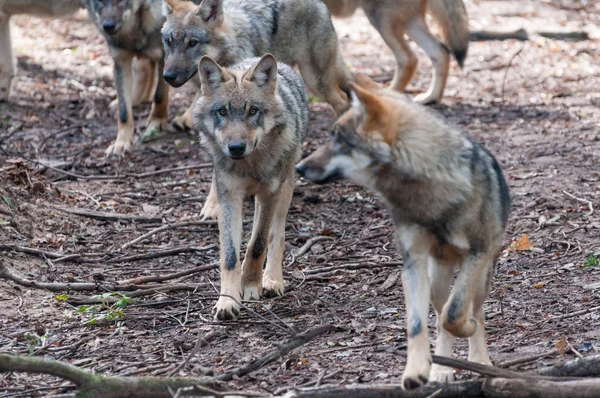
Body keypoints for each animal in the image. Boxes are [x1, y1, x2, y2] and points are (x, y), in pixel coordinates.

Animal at [82, 0, 171, 155]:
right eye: (99, 1)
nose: (108, 26)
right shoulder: (120, 64)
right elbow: (124, 112)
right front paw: (121, 143)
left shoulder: (165, 60)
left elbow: (159, 96)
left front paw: (157, 122)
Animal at [164, 0, 352, 132]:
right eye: (168, 41)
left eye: (192, 43)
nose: (167, 76)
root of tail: (320, 3)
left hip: (316, 82)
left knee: (343, 101)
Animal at [195, 53, 310, 320]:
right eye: (222, 111)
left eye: (253, 111)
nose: (236, 147)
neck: (250, 165)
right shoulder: (230, 197)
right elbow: (229, 256)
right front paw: (228, 300)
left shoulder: (269, 194)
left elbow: (257, 245)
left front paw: (250, 286)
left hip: (285, 189)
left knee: (276, 234)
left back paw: (272, 280)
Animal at [296, 74, 510, 388]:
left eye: (339, 139)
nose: (298, 167)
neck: (427, 196)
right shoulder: (414, 263)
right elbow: (420, 324)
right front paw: (416, 371)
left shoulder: (477, 252)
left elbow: (457, 312)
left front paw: (469, 337)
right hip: (436, 281)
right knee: (440, 315)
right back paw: (441, 370)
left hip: (481, 275)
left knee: (474, 310)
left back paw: (479, 359)